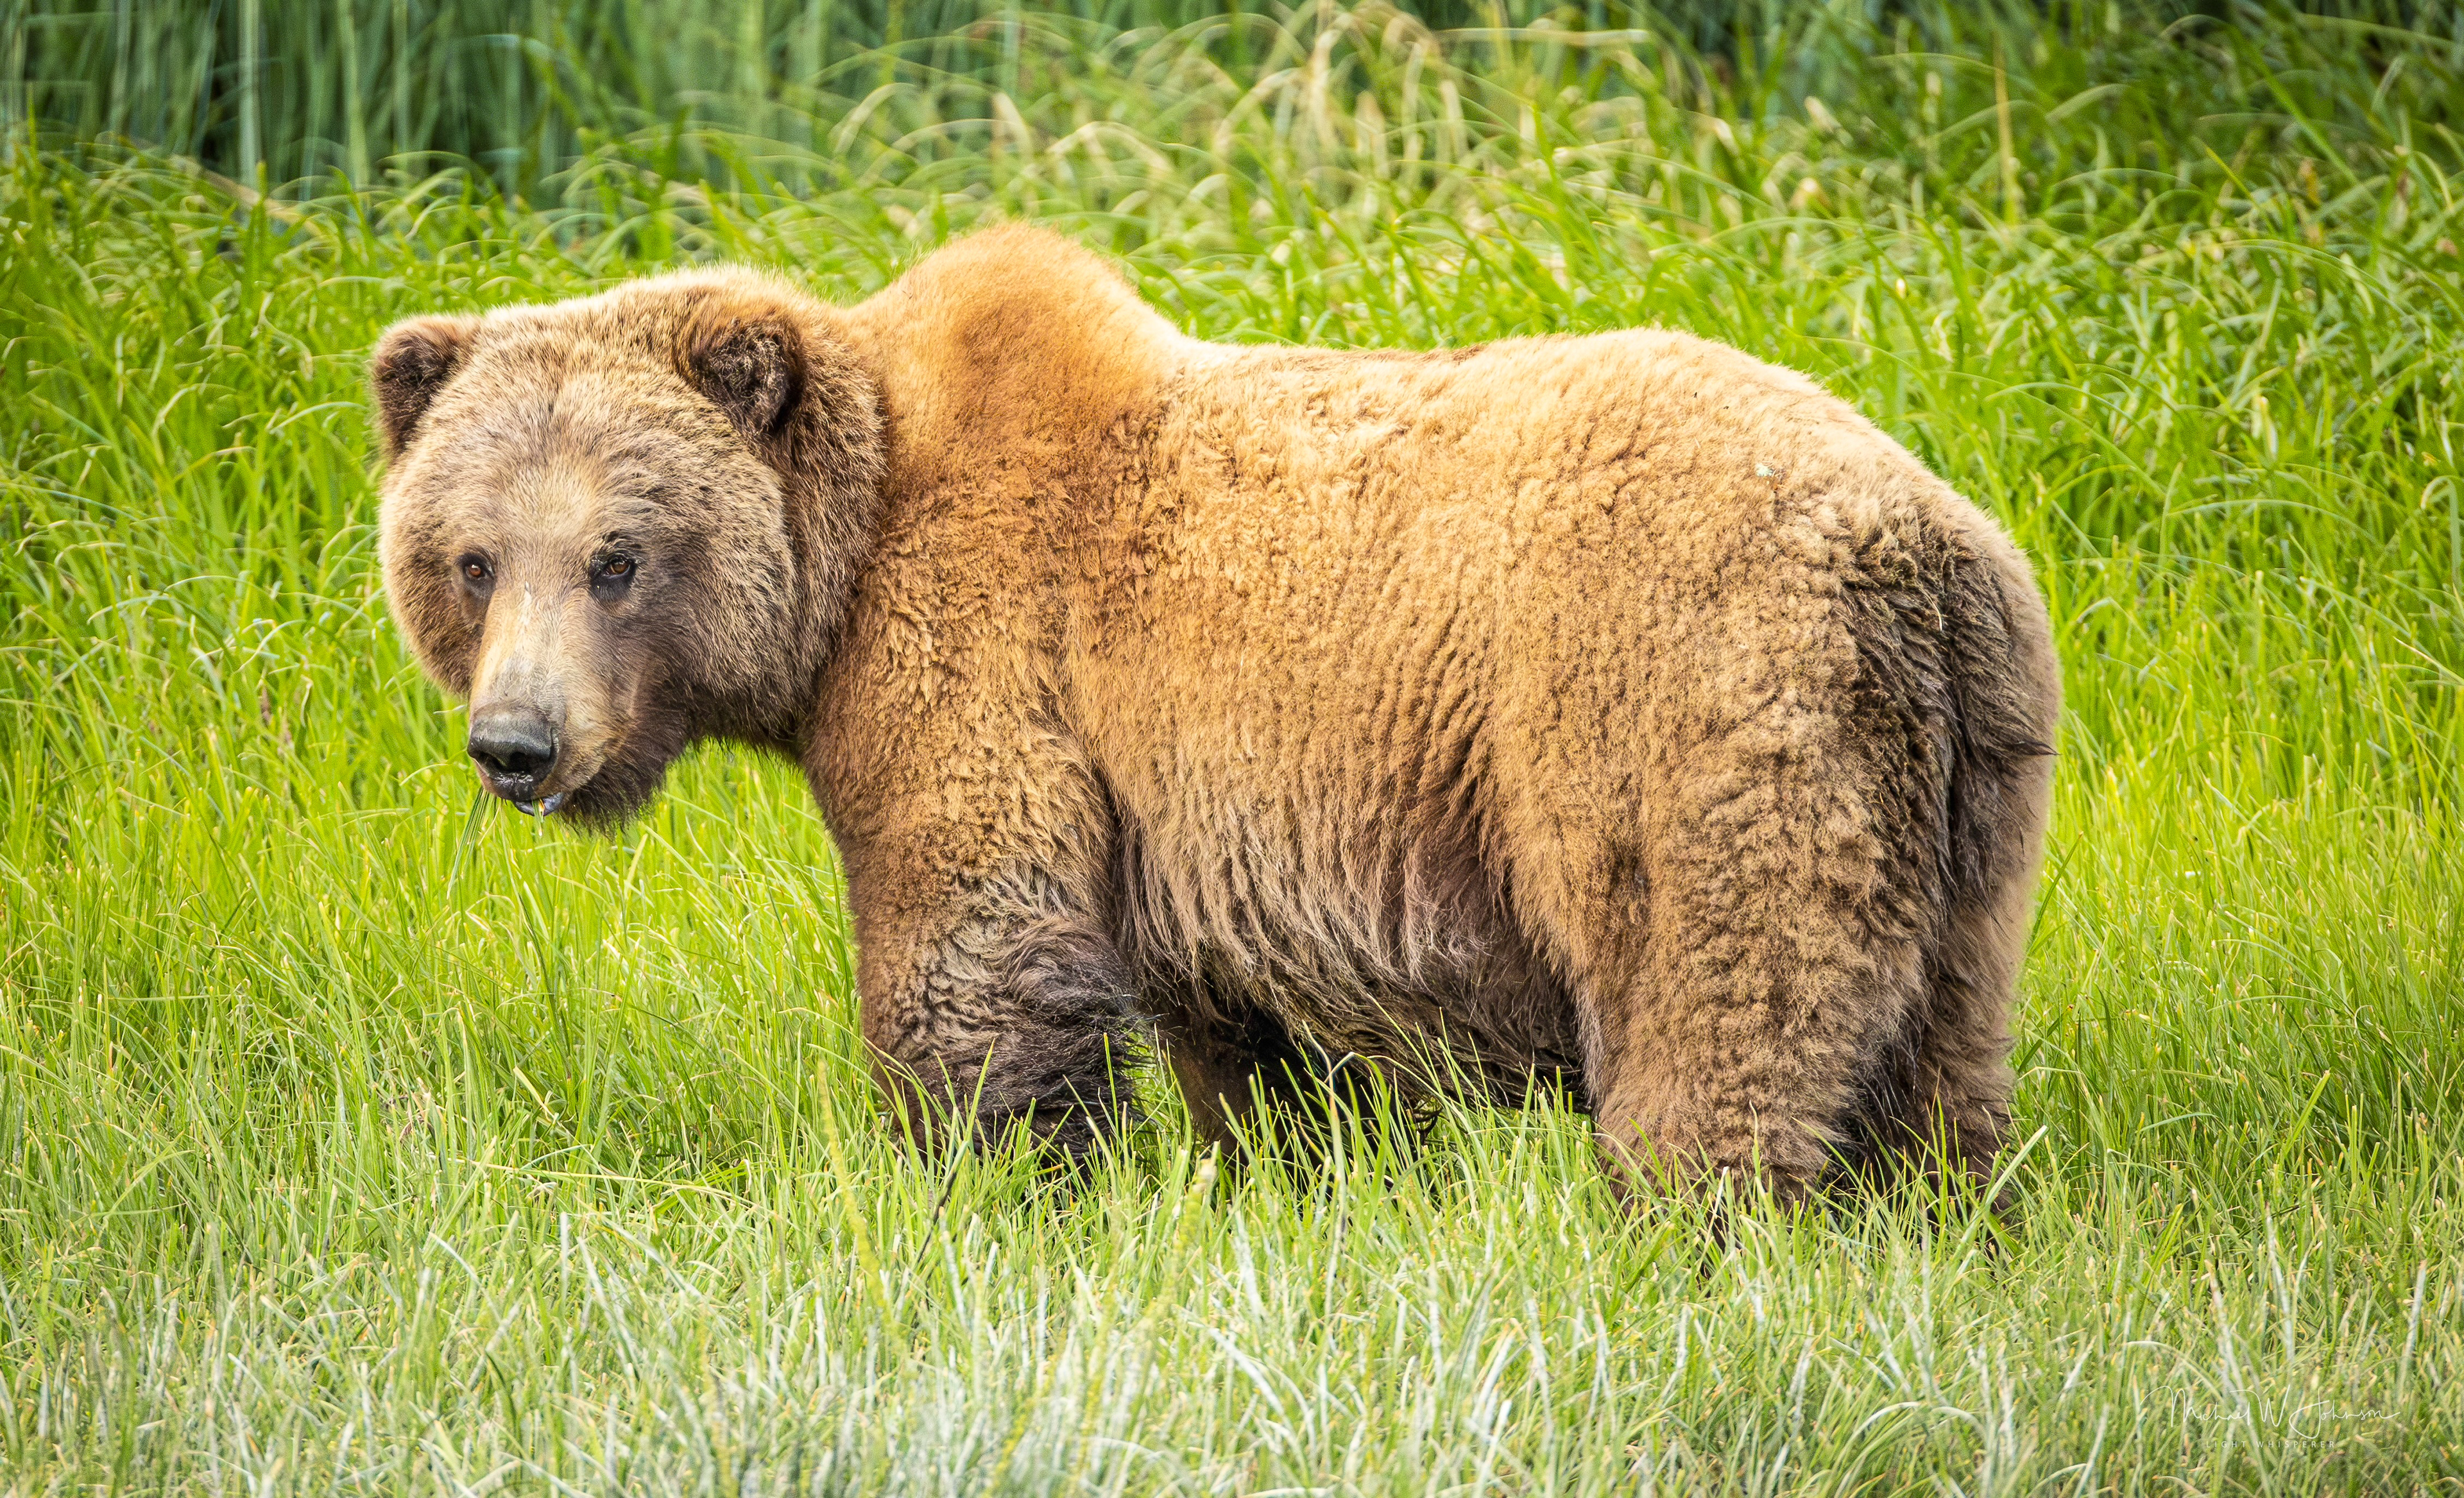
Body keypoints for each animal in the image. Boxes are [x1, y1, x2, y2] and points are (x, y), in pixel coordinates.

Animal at [372, 224, 2059, 1205]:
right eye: (468, 555)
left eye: (615, 554)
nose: (518, 746)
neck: (844, 568)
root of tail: (1911, 541)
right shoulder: (1189, 826)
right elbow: (1248, 1044)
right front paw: (1275, 1174)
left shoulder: (987, 671)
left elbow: (971, 945)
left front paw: (992, 1183)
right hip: (1971, 775)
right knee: (1945, 1041)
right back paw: (1944, 1207)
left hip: (1679, 707)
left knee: (1712, 998)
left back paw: (1695, 1219)